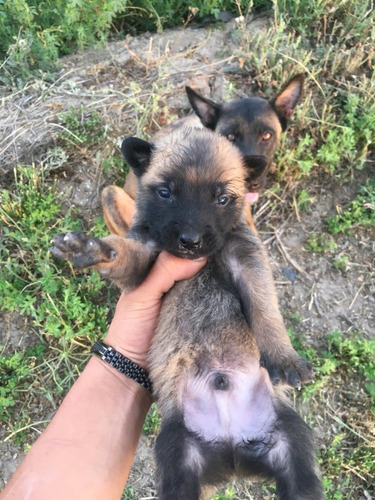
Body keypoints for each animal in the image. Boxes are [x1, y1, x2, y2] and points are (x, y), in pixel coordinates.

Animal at [51, 129, 324, 500]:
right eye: (165, 192)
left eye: (222, 199)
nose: (190, 241)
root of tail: (232, 449)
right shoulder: (143, 260)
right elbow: (122, 252)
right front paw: (93, 249)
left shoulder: (248, 262)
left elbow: (265, 310)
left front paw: (284, 356)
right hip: (178, 455)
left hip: (289, 442)